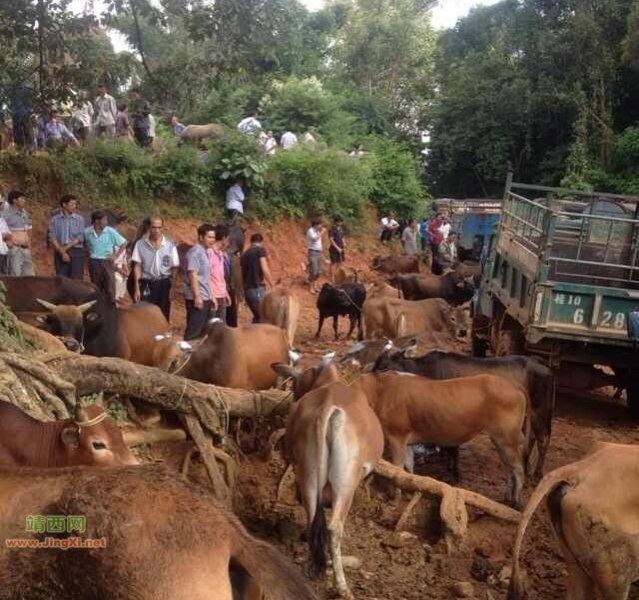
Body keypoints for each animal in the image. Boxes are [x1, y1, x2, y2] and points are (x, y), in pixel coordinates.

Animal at [272, 358, 382, 596]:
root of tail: (328, 405)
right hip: (347, 482)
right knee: (334, 528)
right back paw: (341, 586)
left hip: (308, 474)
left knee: (312, 518)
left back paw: (312, 567)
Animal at [352, 370, 528, 506]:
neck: (380, 392)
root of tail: (511, 384)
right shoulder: (406, 442)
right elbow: (409, 467)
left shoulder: (397, 436)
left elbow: (398, 468)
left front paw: (395, 499)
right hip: (499, 440)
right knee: (508, 468)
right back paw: (507, 497)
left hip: (507, 438)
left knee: (518, 468)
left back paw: (517, 501)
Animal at [372, 346, 556, 478]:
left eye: (383, 366)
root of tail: (536, 360)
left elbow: (453, 448)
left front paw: (454, 474)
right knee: (532, 437)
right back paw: (526, 466)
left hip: (540, 411)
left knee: (543, 439)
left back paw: (537, 473)